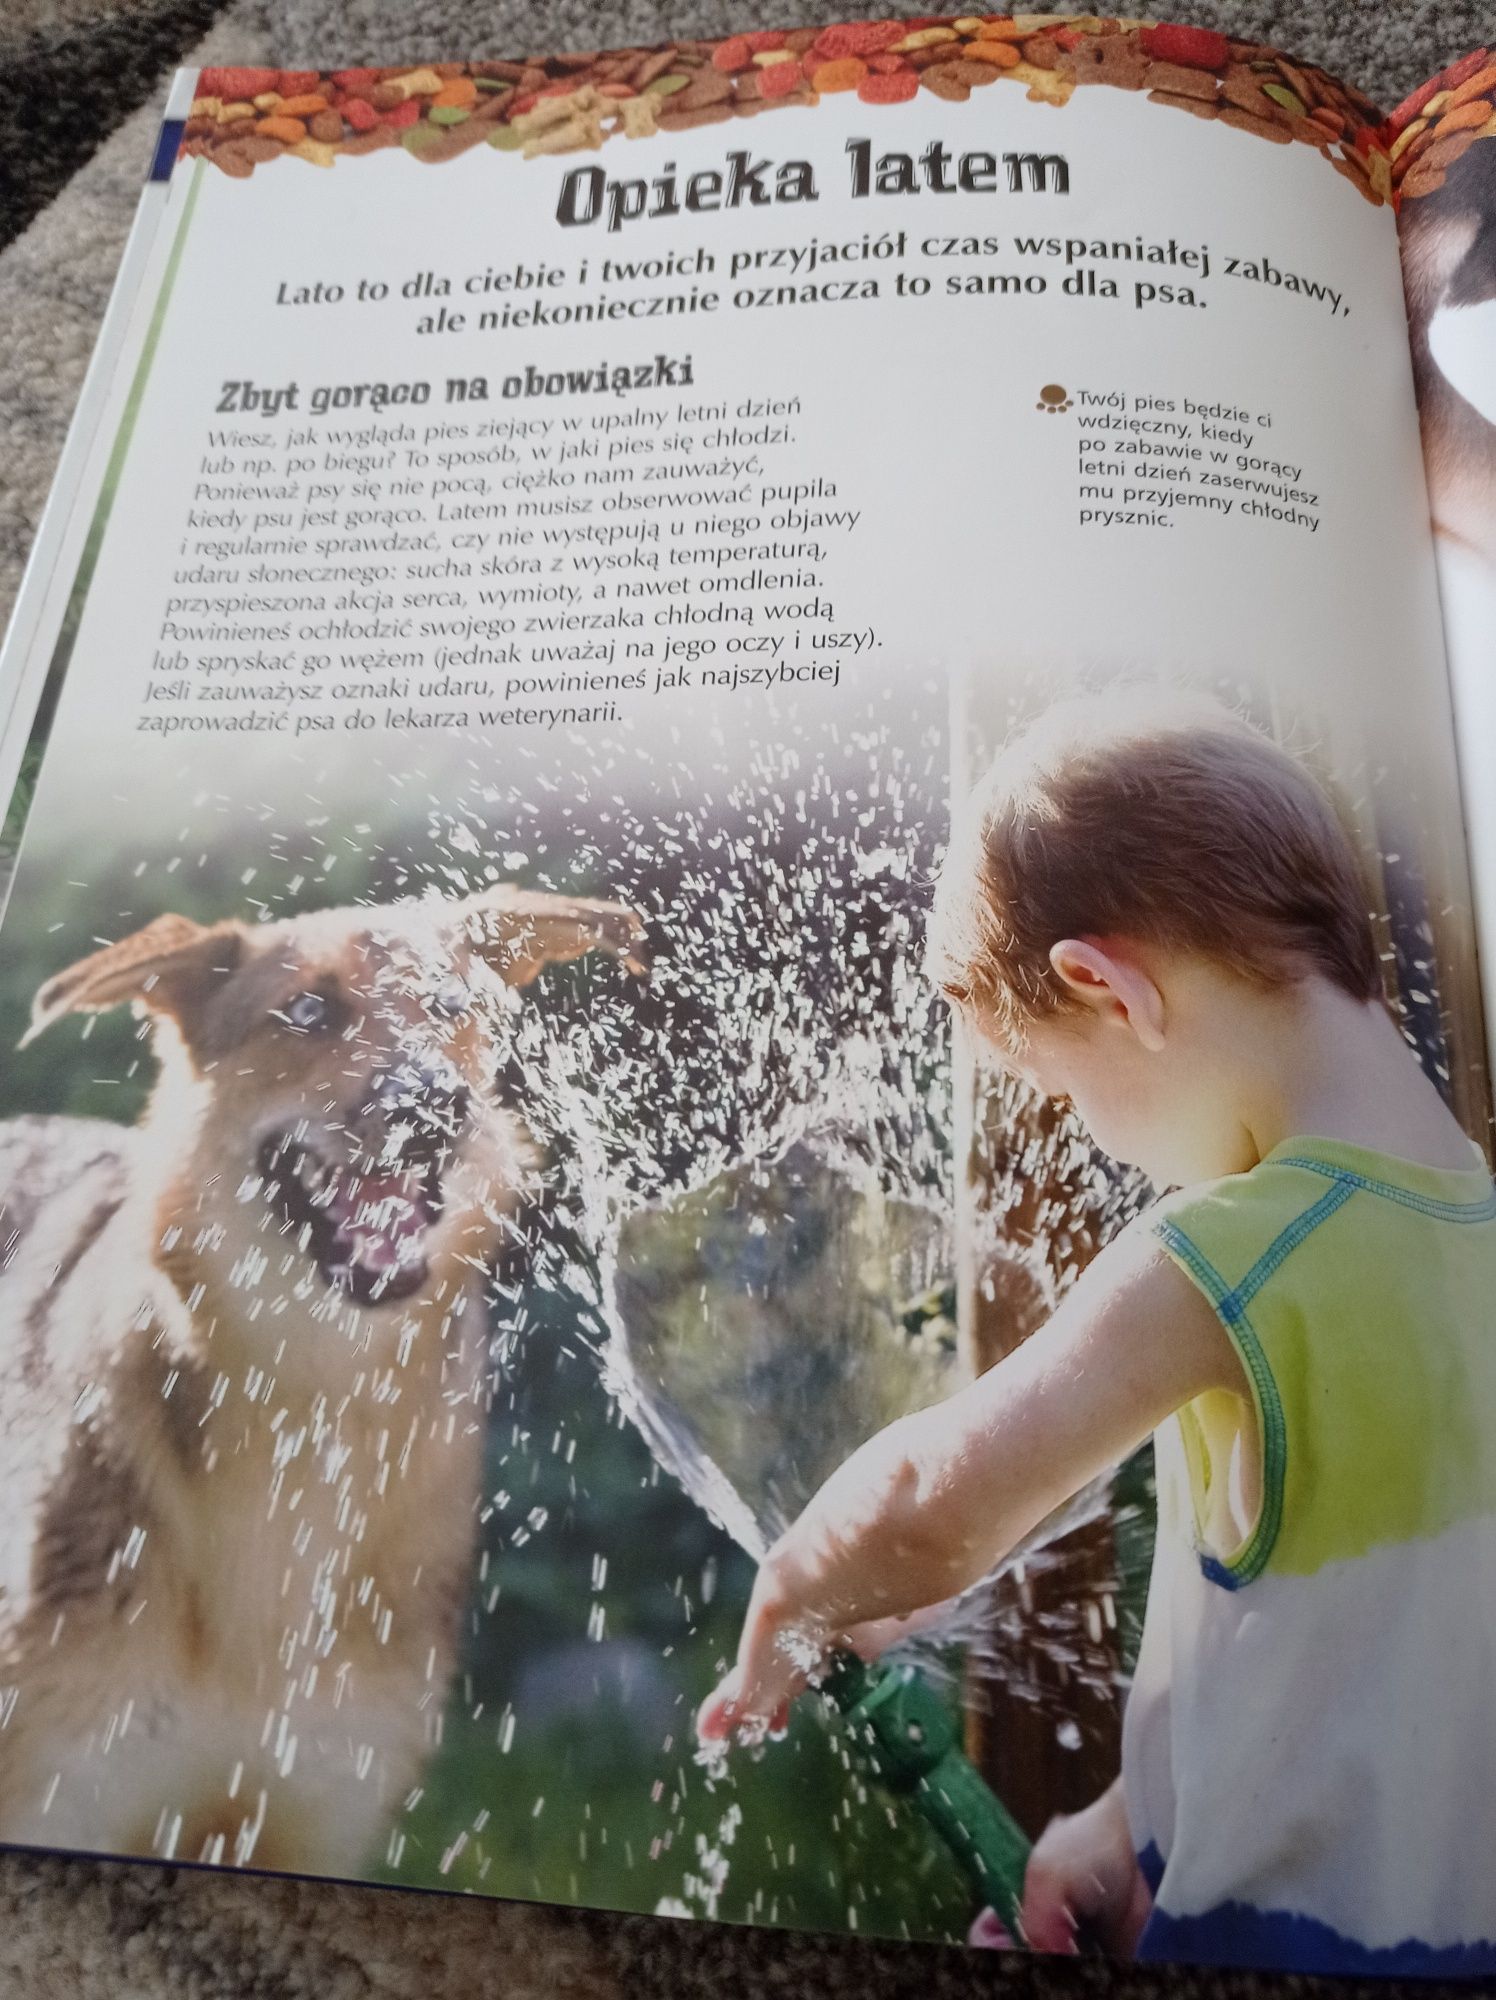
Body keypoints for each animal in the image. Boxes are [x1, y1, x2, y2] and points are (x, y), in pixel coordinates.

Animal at [0, 884, 644, 1864]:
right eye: (308, 1011)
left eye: (450, 1009)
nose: (437, 1106)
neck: (307, 1399)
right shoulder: (59, 1795)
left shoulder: (320, 1815)